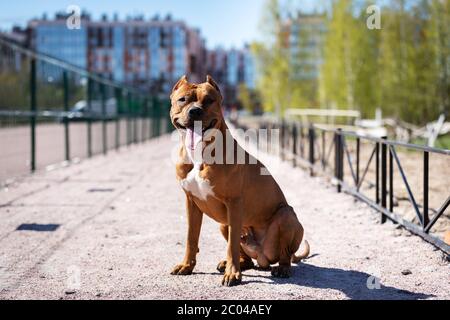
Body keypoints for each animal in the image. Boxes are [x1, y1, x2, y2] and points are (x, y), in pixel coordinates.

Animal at [169, 75, 310, 288]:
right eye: (183, 99)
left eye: (209, 100)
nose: (195, 111)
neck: (199, 155)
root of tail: (264, 257)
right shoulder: (191, 202)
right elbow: (191, 238)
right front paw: (187, 266)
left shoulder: (234, 203)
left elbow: (232, 244)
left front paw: (233, 274)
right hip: (223, 224)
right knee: (248, 259)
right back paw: (233, 264)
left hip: (286, 215)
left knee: (285, 254)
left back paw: (282, 268)